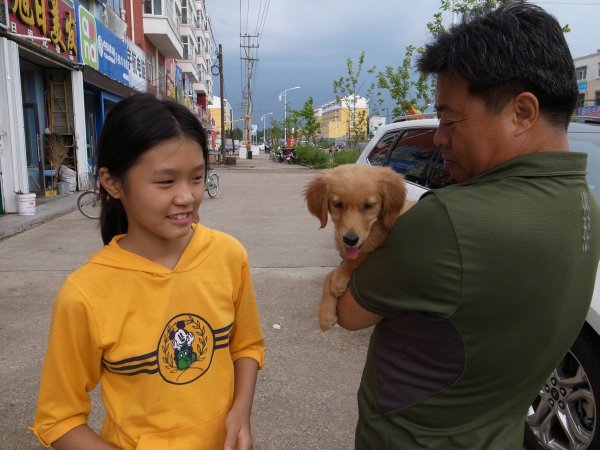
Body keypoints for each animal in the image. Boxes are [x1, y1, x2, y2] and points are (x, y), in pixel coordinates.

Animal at [304, 165, 408, 330]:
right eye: (338, 204)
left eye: (368, 206)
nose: (350, 240)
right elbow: (329, 274)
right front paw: (325, 314)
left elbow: (357, 258)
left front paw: (339, 280)